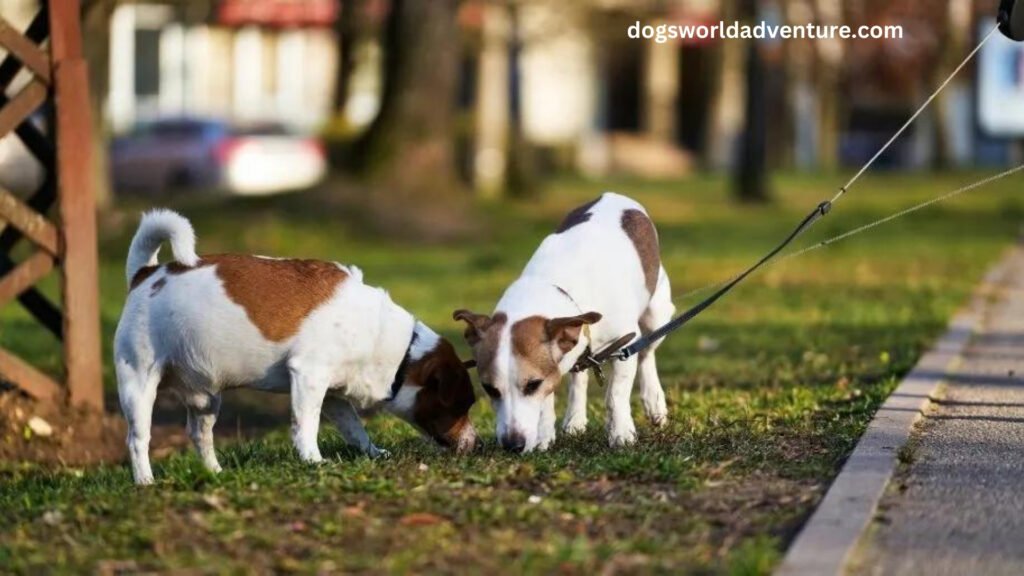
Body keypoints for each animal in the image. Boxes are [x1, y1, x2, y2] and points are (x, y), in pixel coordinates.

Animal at [115, 208, 475, 481]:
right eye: (464, 404)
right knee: (137, 439)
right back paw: (145, 481)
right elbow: (306, 426)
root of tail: (146, 274)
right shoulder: (308, 377)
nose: (475, 442)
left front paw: (371, 452)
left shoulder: (333, 395)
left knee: (199, 435)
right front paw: (313, 460)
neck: (399, 349)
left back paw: (214, 472)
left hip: (205, 399)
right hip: (139, 384)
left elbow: (354, 429)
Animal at [454, 192, 671, 453]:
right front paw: (544, 436)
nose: (512, 445)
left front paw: (621, 433)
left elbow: (616, 394)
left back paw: (653, 401)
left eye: (532, 384)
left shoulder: (625, 342)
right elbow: (549, 400)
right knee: (580, 374)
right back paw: (575, 419)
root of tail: (613, 194)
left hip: (657, 313)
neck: (557, 285)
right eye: (489, 389)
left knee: (648, 353)